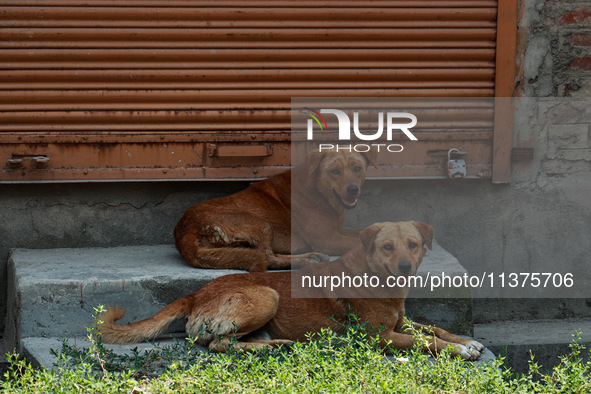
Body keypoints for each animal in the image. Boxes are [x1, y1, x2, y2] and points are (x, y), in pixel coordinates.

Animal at [98, 222, 486, 360]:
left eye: (413, 245)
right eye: (387, 247)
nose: (405, 267)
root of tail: (194, 294)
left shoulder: (401, 323)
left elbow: (435, 328)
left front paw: (467, 341)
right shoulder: (380, 337)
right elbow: (427, 340)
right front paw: (459, 350)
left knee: (236, 341)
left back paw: (277, 345)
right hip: (267, 297)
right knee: (219, 345)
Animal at [173, 149, 376, 272]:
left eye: (357, 168)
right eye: (334, 171)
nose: (353, 189)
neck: (317, 188)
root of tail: (184, 230)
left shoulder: (337, 229)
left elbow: (360, 232)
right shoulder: (328, 240)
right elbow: (356, 243)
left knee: (265, 254)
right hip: (261, 223)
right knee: (269, 259)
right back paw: (305, 260)